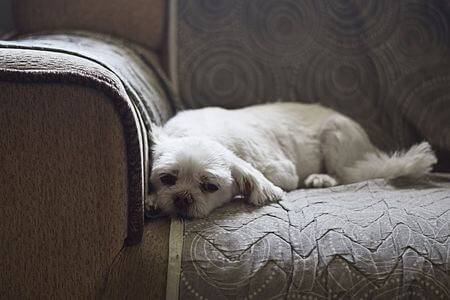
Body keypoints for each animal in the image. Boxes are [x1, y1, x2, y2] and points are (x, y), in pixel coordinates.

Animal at [146, 101, 438, 218]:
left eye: (209, 186)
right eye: (167, 179)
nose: (183, 198)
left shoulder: (284, 171)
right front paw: (152, 200)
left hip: (336, 136)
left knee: (345, 173)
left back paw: (322, 178)